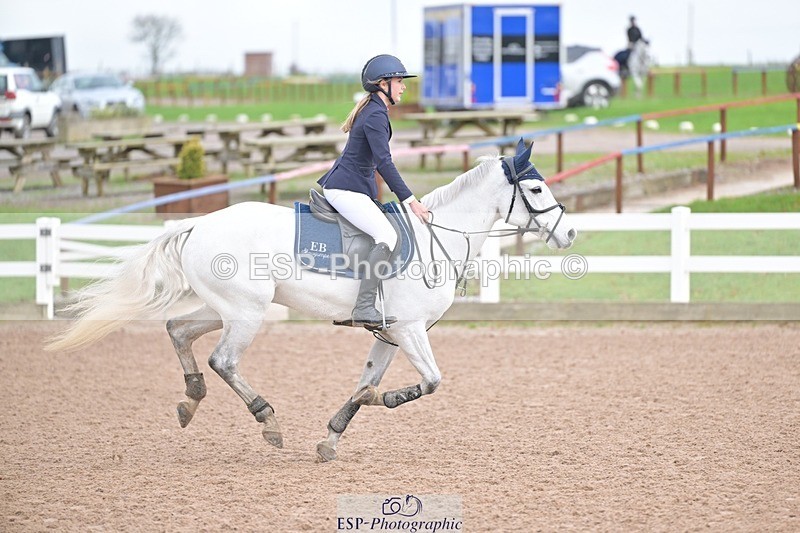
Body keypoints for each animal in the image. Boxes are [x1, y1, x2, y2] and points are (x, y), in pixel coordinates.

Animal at [46, 140, 577, 462]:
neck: (437, 238)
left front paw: (333, 435)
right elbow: (430, 382)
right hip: (246, 314)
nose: (570, 233)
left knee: (178, 330)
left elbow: (366, 383)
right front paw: (381, 400)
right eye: (535, 187)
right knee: (224, 360)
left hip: (226, 309)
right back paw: (267, 421)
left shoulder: (391, 334)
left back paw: (190, 401)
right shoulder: (407, 329)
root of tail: (198, 223)